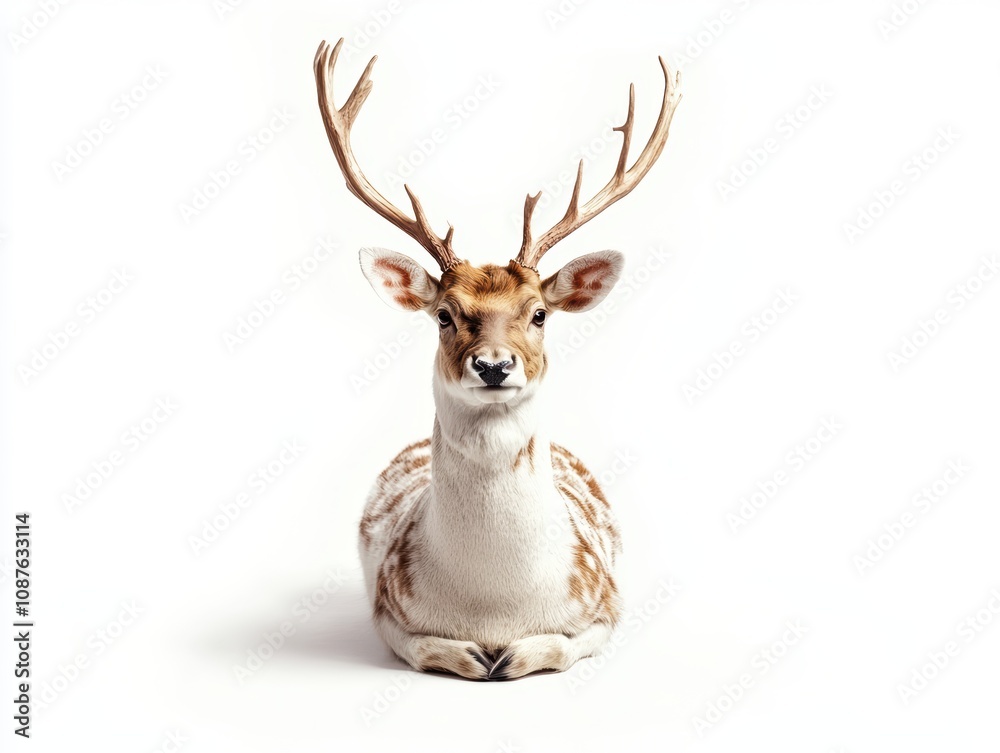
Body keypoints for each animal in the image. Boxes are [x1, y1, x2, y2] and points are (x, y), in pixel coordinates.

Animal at [314, 38, 681, 680]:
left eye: (539, 314)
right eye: (444, 314)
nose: (492, 366)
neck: (495, 605)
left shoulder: (608, 600)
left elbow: (560, 645)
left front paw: (510, 657)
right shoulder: (387, 606)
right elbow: (424, 648)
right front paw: (472, 656)